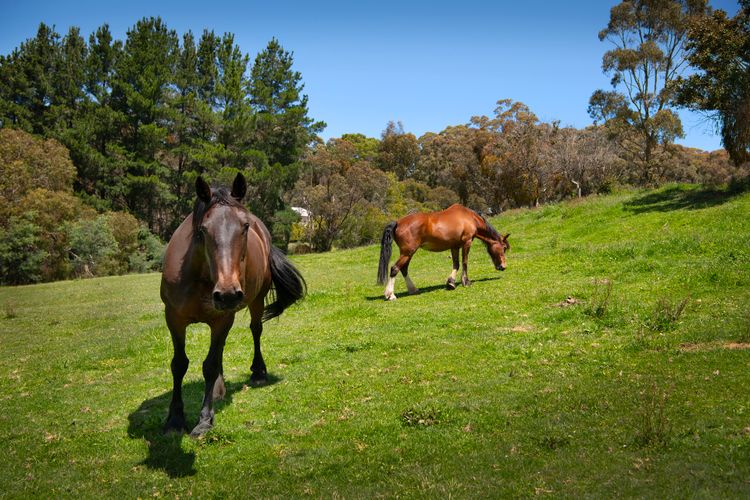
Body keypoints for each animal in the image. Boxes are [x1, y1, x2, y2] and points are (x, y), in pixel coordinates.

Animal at [160, 173, 306, 437]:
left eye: (244, 227)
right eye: (203, 230)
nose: (227, 294)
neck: (199, 276)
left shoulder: (221, 319)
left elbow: (209, 365)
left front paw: (204, 420)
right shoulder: (174, 318)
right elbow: (179, 364)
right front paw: (174, 419)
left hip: (255, 301)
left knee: (256, 330)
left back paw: (258, 372)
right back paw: (219, 389)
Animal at [376, 204, 510, 300]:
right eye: (503, 248)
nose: (503, 266)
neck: (470, 218)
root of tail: (398, 222)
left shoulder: (454, 246)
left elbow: (456, 264)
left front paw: (451, 283)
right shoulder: (467, 243)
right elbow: (465, 262)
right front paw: (466, 282)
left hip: (408, 253)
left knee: (403, 269)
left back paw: (413, 289)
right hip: (407, 252)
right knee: (395, 268)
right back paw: (390, 295)